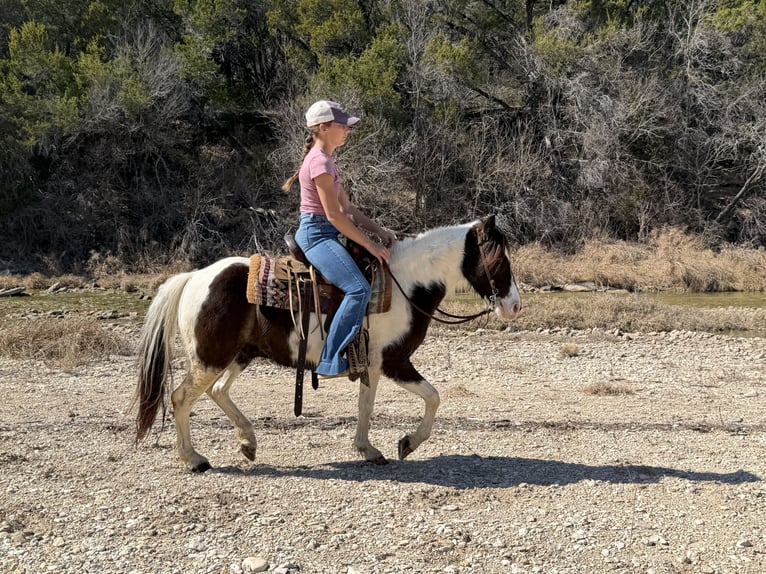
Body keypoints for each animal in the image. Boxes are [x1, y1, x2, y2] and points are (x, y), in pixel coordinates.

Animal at [134, 215, 522, 472]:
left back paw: (247, 441)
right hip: (211, 357)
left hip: (239, 355)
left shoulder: (372, 364)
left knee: (218, 392)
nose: (514, 306)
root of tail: (194, 277)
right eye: (499, 259)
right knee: (181, 398)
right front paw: (407, 443)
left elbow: (367, 406)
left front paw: (368, 449)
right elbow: (433, 397)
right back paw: (194, 459)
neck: (405, 285)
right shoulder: (394, 361)